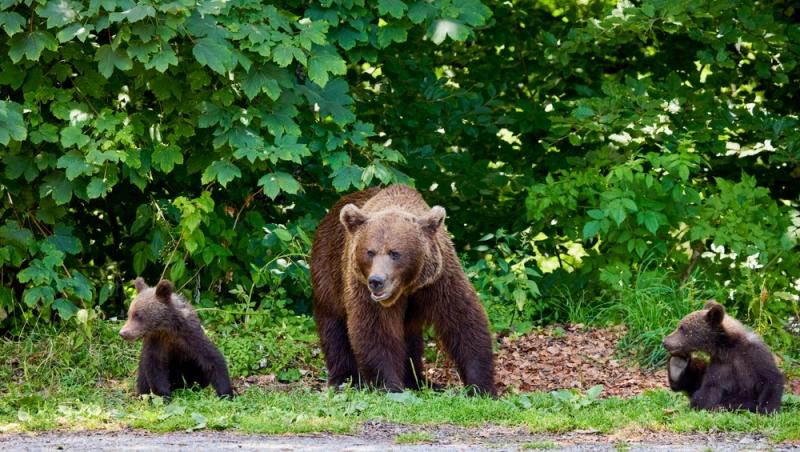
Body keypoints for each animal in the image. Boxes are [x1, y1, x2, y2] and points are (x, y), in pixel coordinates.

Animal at [310, 185, 494, 394]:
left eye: (395, 253)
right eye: (370, 252)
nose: (376, 281)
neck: (406, 287)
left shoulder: (439, 281)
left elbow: (463, 323)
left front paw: (481, 387)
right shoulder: (363, 289)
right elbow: (375, 331)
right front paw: (390, 386)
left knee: (410, 339)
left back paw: (419, 381)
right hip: (329, 270)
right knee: (334, 326)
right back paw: (345, 379)